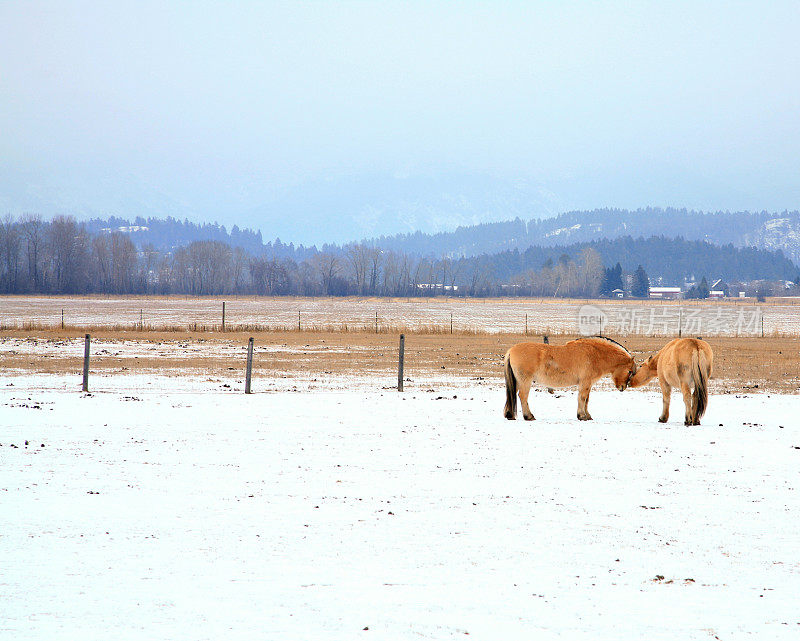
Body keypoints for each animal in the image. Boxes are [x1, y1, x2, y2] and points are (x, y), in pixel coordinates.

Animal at [504, 336, 636, 420]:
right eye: (629, 371)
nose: (623, 387)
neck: (595, 354)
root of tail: (511, 350)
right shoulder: (585, 383)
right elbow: (582, 398)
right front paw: (582, 416)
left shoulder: (588, 384)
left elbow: (586, 400)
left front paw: (587, 415)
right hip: (525, 381)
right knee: (523, 396)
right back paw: (529, 416)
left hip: (517, 381)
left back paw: (509, 415)